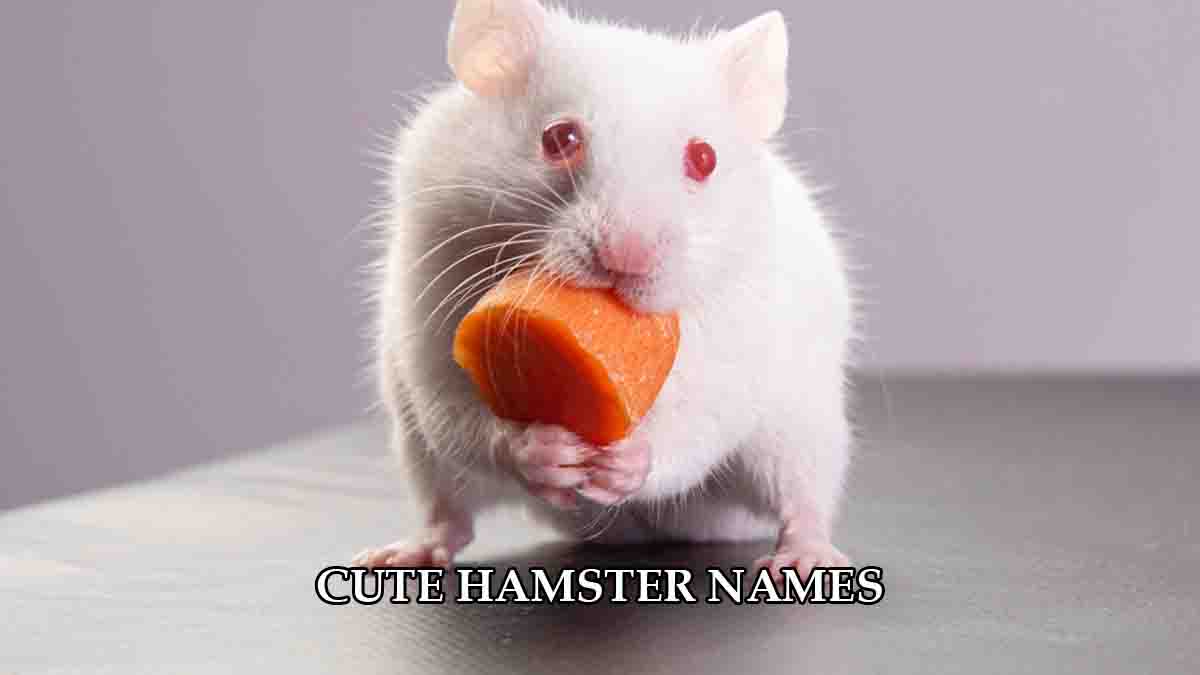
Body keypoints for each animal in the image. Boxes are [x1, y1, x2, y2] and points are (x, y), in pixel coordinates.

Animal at [356, 0, 855, 579]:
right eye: (559, 138)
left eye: (704, 158)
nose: (626, 259)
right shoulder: (433, 297)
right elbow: (461, 407)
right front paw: (545, 451)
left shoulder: (736, 338)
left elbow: (696, 419)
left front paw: (623, 462)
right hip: (419, 451)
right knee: (448, 511)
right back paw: (398, 554)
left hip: (802, 434)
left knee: (802, 501)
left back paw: (804, 557)